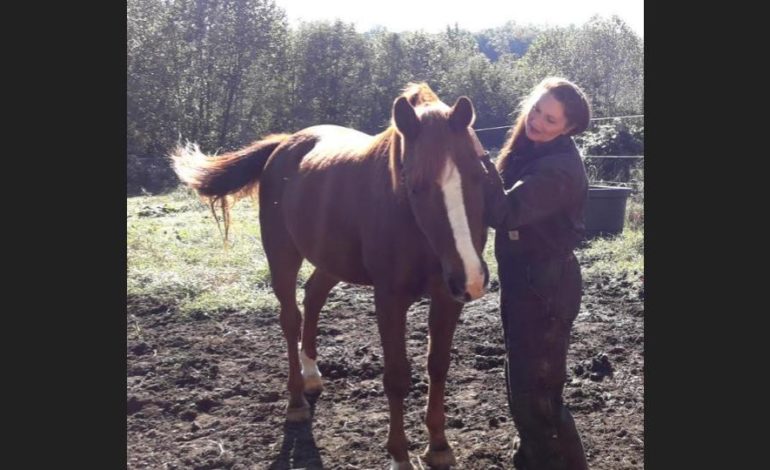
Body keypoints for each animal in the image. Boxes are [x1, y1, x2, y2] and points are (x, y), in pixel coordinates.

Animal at [170, 83, 499, 469]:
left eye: (479, 175)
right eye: (416, 187)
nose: (473, 278)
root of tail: (284, 144)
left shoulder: (448, 297)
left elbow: (438, 365)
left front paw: (438, 446)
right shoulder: (389, 298)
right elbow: (397, 377)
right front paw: (399, 455)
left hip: (331, 260)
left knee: (313, 295)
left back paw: (312, 375)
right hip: (281, 256)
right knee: (290, 318)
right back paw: (297, 401)